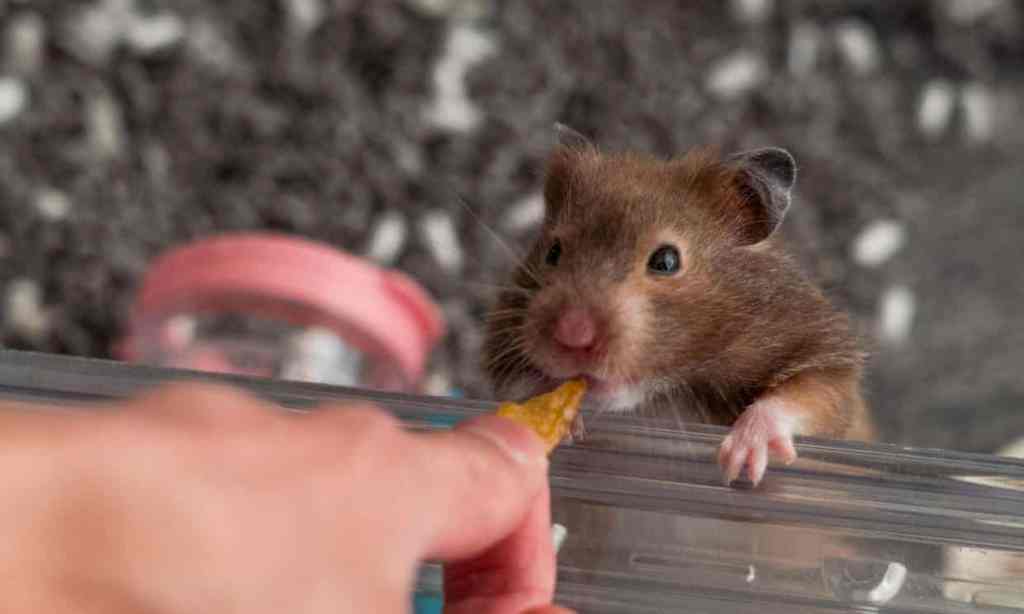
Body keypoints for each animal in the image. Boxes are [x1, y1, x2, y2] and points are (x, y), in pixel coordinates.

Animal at [483, 125, 876, 486]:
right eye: (553, 252)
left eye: (667, 261)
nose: (572, 335)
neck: (665, 391)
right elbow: (516, 384)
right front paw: (557, 420)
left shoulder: (827, 358)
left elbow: (808, 396)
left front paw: (738, 463)